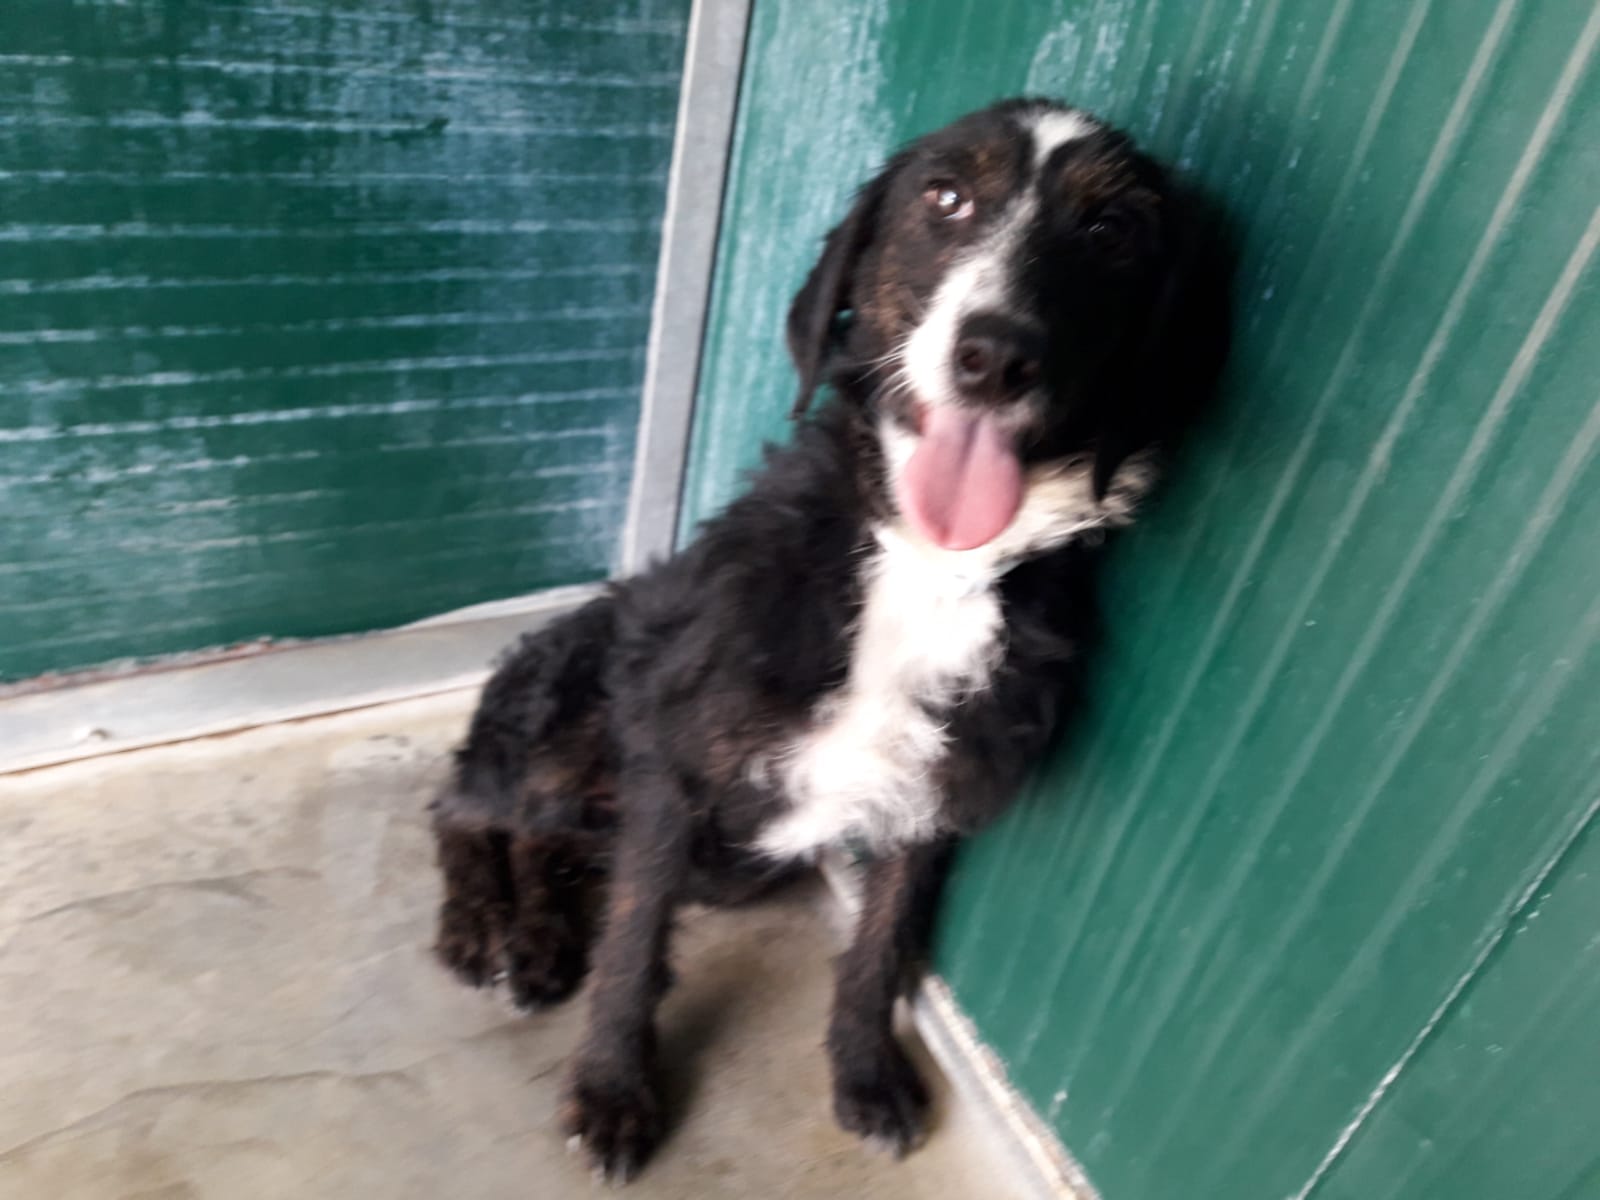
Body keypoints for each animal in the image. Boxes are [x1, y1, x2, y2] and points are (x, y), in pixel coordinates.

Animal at [428, 97, 1230, 1181]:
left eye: (1110, 232)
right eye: (945, 196)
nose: (996, 354)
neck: (927, 565)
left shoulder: (933, 798)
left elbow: (879, 945)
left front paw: (863, 1072)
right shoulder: (675, 764)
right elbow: (636, 945)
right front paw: (612, 1091)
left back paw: (544, 934)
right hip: (564, 722)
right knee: (469, 810)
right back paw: (487, 928)